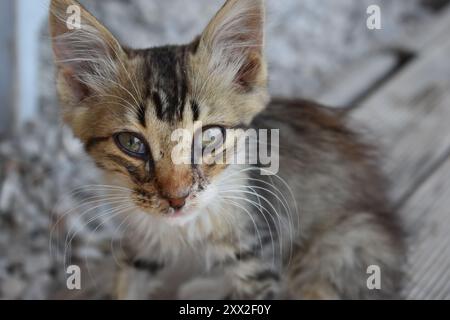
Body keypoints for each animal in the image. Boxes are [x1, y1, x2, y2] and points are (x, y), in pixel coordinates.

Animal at [49, 0, 404, 300]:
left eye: (209, 137)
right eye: (132, 143)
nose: (177, 200)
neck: (184, 231)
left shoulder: (258, 251)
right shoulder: (141, 244)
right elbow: (127, 284)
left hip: (346, 246)